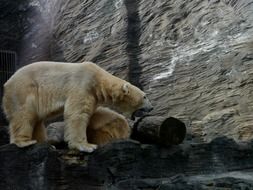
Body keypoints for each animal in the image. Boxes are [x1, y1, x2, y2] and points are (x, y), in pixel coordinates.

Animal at [2, 61, 152, 152]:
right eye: (145, 96)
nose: (151, 108)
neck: (98, 80)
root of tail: (7, 82)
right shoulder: (82, 85)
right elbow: (77, 114)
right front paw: (87, 146)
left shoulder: (93, 95)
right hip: (24, 89)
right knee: (24, 114)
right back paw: (25, 142)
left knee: (36, 119)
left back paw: (46, 144)